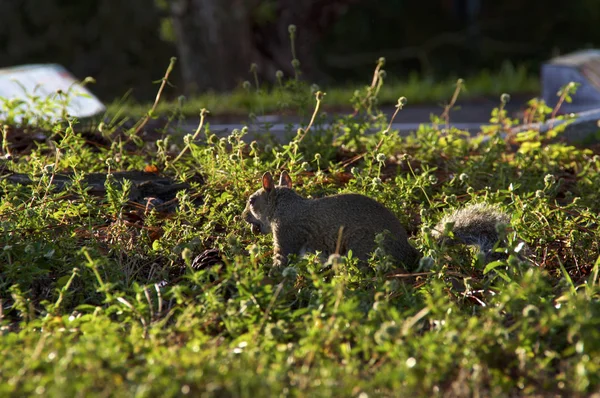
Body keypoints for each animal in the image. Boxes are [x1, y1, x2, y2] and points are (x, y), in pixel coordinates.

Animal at [243, 171, 510, 270]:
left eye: (252, 200)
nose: (242, 216)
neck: (285, 207)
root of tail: (409, 253)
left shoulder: (286, 234)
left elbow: (282, 259)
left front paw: (270, 273)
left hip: (362, 247)